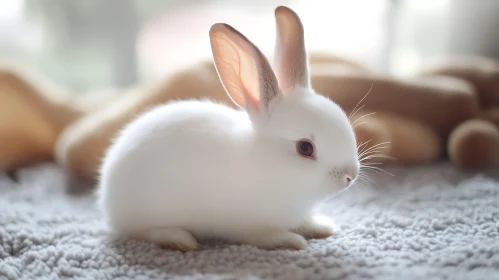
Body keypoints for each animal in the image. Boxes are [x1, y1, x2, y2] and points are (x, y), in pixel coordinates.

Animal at [97, 6, 362, 252]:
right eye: (305, 148)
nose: (350, 176)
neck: (266, 164)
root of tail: (106, 191)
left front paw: (323, 226)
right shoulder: (247, 225)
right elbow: (262, 236)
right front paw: (290, 241)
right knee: (138, 231)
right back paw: (179, 239)